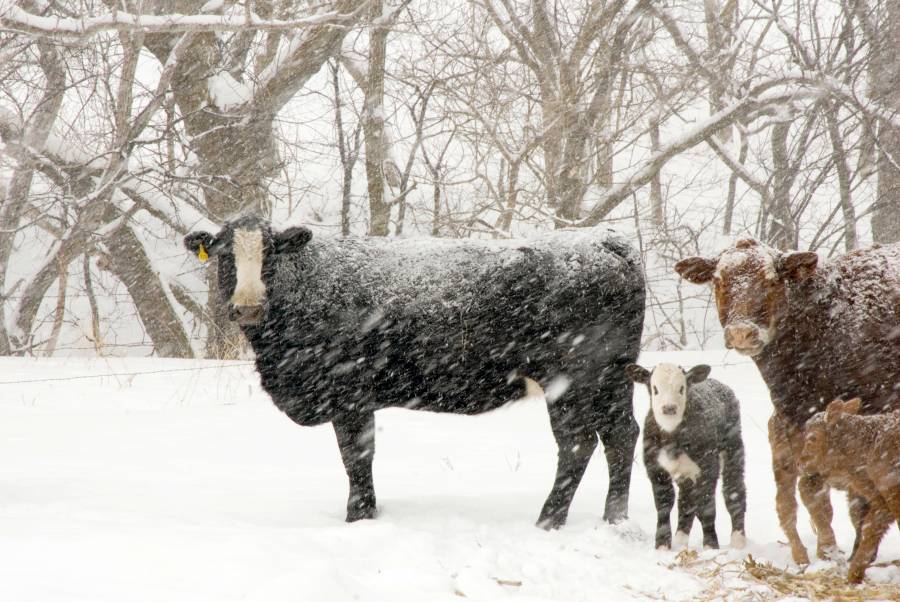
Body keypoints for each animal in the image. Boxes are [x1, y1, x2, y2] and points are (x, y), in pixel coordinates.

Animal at [185, 214, 648, 524]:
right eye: (224, 256)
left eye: (270, 255)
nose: (247, 306)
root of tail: (603, 239)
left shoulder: (349, 392)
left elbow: (356, 456)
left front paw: (359, 517)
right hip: (613, 375)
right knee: (622, 434)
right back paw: (615, 518)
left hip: (569, 379)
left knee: (578, 443)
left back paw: (548, 520)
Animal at [624, 360, 744, 548]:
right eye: (655, 389)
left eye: (681, 388)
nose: (669, 408)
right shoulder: (655, 468)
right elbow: (664, 505)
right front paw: (662, 545)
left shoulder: (708, 467)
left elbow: (706, 508)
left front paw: (711, 546)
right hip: (686, 473)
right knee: (686, 501)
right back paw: (680, 541)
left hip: (733, 447)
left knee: (734, 491)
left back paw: (738, 542)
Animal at [800, 398, 900, 580]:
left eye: (813, 438)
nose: (799, 463)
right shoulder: (882, 501)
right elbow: (870, 528)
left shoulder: (892, 495)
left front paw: (853, 574)